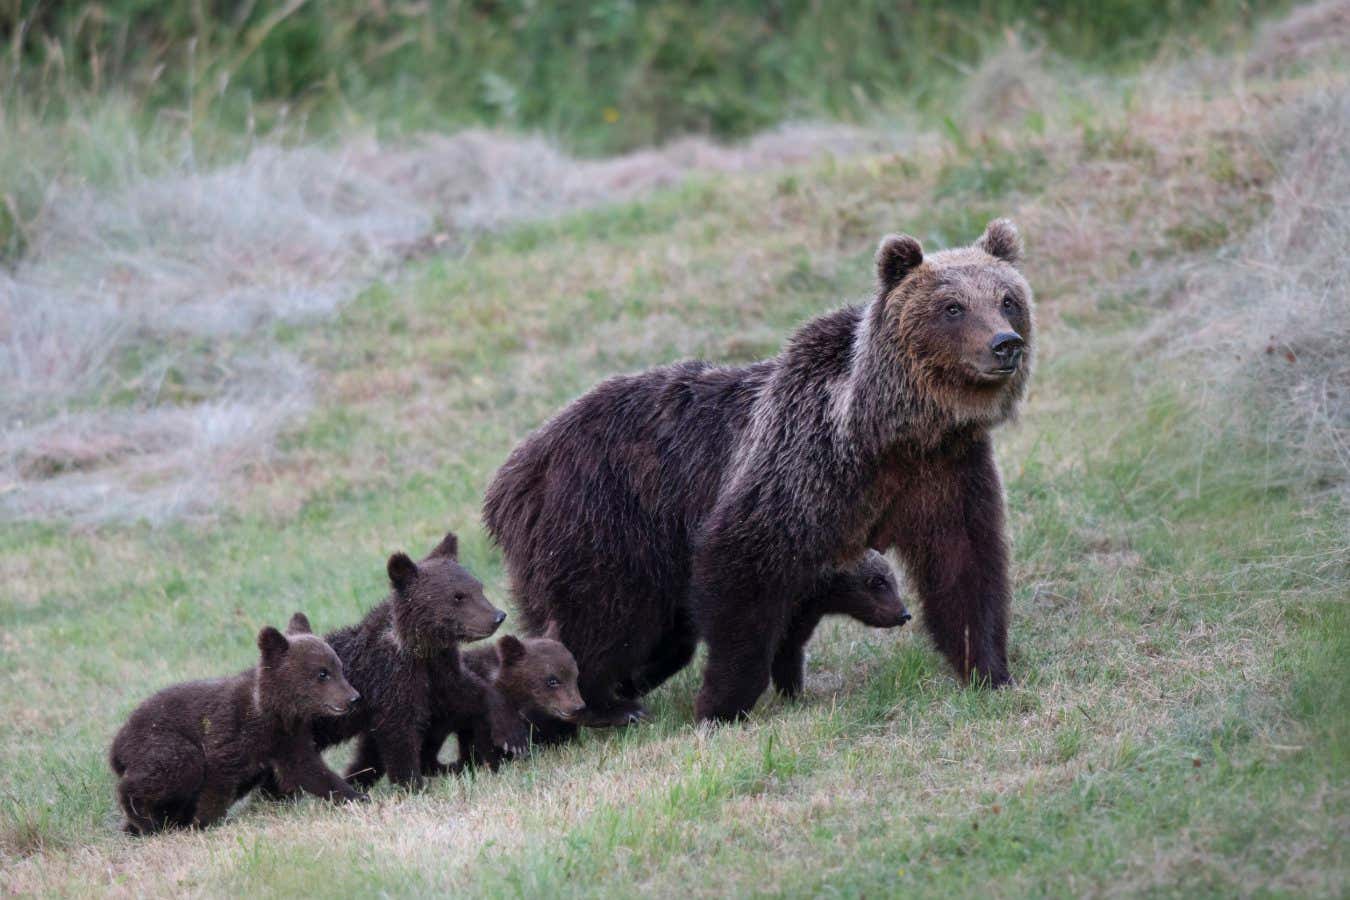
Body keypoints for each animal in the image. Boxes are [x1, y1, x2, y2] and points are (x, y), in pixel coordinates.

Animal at [109, 614, 364, 834]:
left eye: (339, 668)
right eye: (322, 673)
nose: (353, 698)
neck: (273, 712)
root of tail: (116, 746)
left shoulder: (289, 740)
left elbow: (310, 771)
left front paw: (356, 796)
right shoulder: (230, 732)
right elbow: (217, 783)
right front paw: (204, 822)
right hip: (158, 741)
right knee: (175, 765)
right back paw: (146, 821)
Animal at [308, 531, 526, 790]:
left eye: (478, 587)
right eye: (458, 596)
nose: (497, 616)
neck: (418, 649)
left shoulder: (439, 670)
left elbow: (470, 691)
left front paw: (511, 734)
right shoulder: (391, 679)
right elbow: (400, 734)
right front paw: (414, 783)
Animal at [483, 220, 1032, 723]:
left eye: (1007, 299)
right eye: (952, 307)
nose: (1005, 344)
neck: (887, 432)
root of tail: (513, 473)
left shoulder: (945, 472)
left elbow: (966, 563)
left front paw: (988, 670)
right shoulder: (798, 469)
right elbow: (742, 575)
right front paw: (721, 703)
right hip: (603, 523)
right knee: (601, 617)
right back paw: (607, 703)